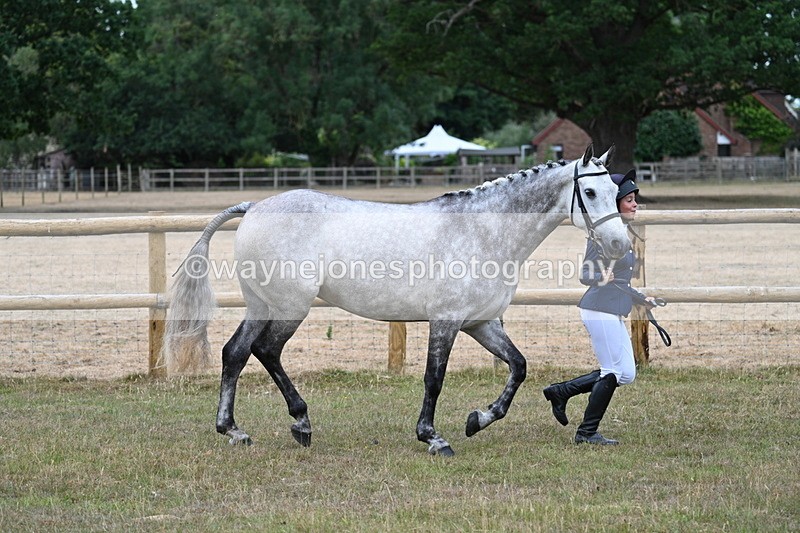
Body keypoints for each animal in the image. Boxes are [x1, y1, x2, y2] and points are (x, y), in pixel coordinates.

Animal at [163, 144, 629, 456]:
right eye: (590, 194)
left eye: (614, 191)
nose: (620, 245)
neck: (483, 230)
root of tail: (256, 206)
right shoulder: (446, 321)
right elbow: (434, 379)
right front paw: (433, 437)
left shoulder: (481, 323)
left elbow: (518, 367)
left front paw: (478, 420)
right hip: (288, 308)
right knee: (265, 350)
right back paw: (299, 422)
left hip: (262, 306)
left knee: (236, 353)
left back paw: (238, 430)